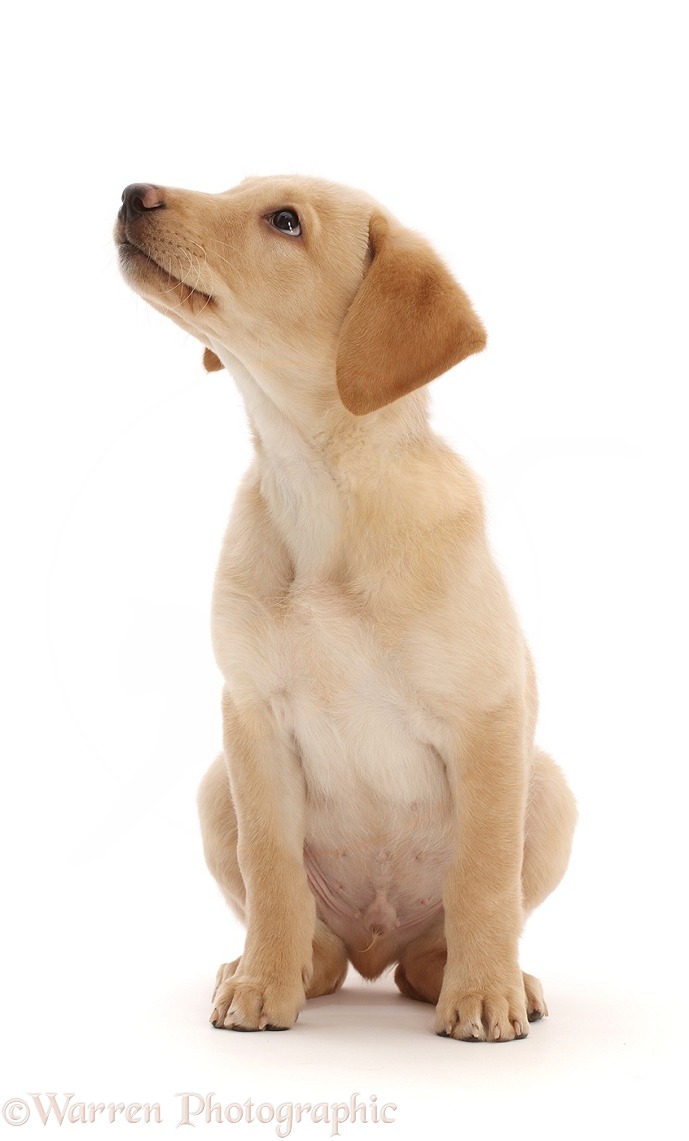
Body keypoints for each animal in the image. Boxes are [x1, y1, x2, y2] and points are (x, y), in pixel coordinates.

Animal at [114, 173, 574, 1040]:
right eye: (233, 189)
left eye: (285, 222)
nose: (131, 192)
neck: (318, 484)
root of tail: (375, 948)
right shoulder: (253, 720)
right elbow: (271, 869)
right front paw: (263, 982)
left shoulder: (487, 717)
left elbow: (483, 876)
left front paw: (483, 994)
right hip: (215, 787)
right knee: (314, 937)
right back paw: (272, 967)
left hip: (548, 787)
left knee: (443, 938)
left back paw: (490, 977)